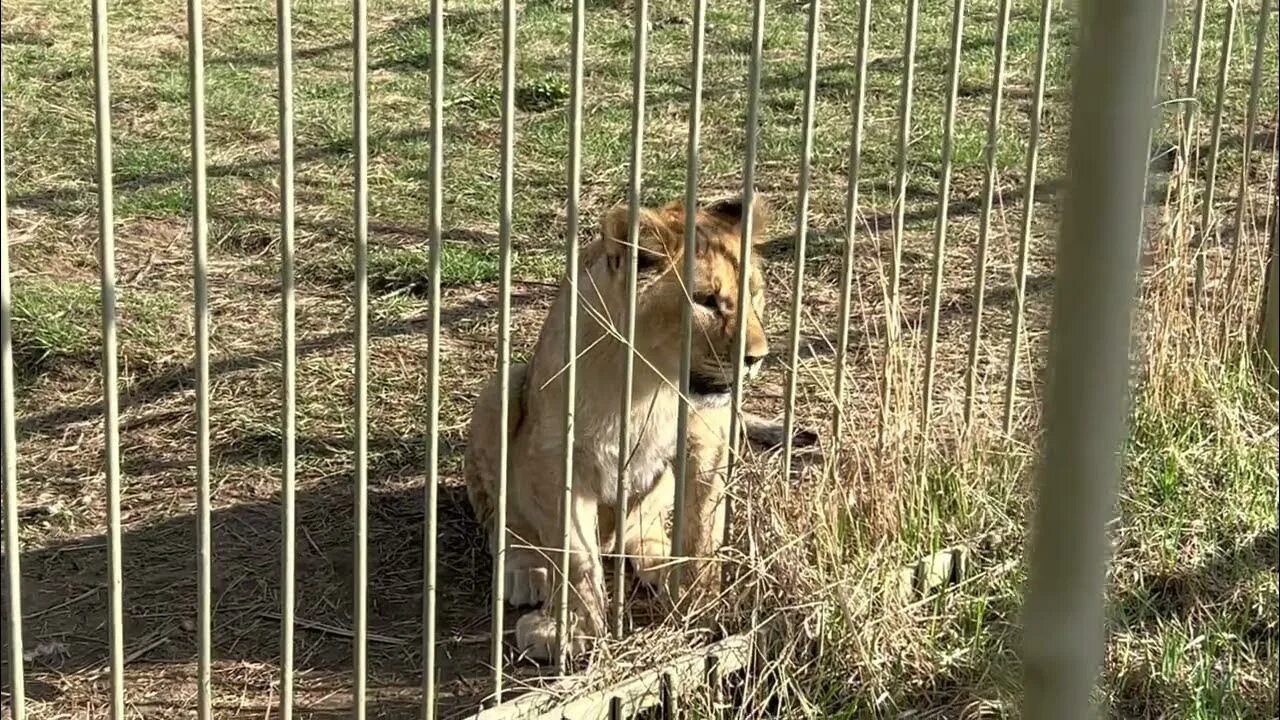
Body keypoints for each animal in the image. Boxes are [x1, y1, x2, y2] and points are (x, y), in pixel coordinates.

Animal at [465, 189, 814, 655]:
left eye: (755, 295)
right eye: (705, 300)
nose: (757, 357)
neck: (649, 382)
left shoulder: (709, 440)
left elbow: (702, 531)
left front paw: (699, 603)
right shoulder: (557, 458)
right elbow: (576, 555)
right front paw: (569, 629)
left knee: (636, 526)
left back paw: (658, 559)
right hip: (502, 386)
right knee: (503, 520)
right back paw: (525, 569)